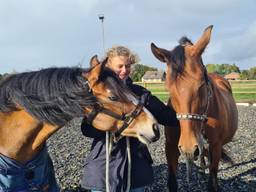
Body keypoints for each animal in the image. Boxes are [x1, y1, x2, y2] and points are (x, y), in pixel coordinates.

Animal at [152, 25, 238, 192]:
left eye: (202, 83)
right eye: (168, 87)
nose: (189, 147)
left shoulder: (215, 147)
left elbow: (212, 179)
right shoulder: (171, 147)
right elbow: (172, 182)